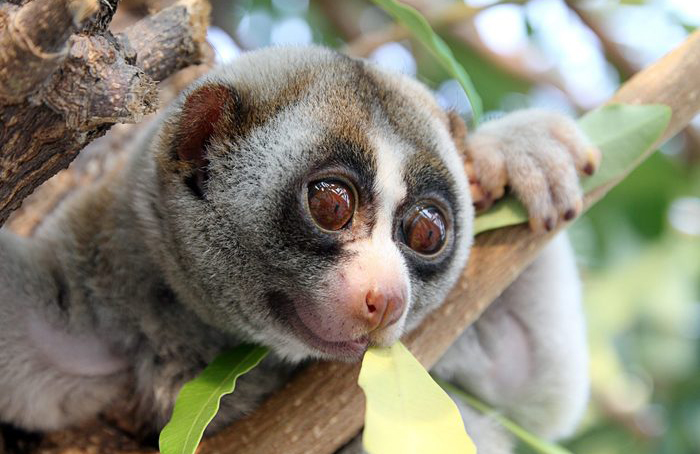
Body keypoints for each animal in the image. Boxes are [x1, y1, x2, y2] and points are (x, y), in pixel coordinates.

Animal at [0, 46, 596, 452]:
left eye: (427, 231)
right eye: (331, 204)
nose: (388, 297)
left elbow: (535, 383)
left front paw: (518, 151)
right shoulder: (102, 255)